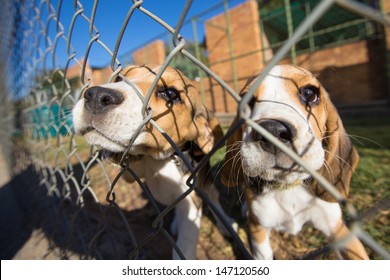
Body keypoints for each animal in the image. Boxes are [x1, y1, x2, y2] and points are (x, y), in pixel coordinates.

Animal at [72, 64, 229, 260]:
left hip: (207, 185)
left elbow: (184, 246)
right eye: (120, 78)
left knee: (214, 199)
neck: (161, 161)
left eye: (170, 94)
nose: (96, 96)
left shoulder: (192, 202)